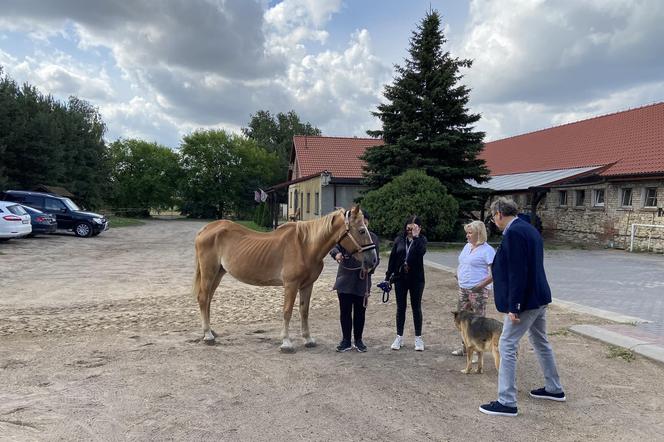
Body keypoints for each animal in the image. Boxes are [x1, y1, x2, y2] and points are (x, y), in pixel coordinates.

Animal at [193, 205, 378, 352]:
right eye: (362, 230)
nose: (373, 260)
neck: (305, 246)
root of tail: (206, 229)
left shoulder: (307, 285)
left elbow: (304, 311)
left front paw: (308, 339)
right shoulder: (291, 285)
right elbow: (287, 311)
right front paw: (286, 343)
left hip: (218, 273)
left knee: (208, 299)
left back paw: (210, 331)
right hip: (209, 272)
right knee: (203, 298)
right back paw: (208, 335)